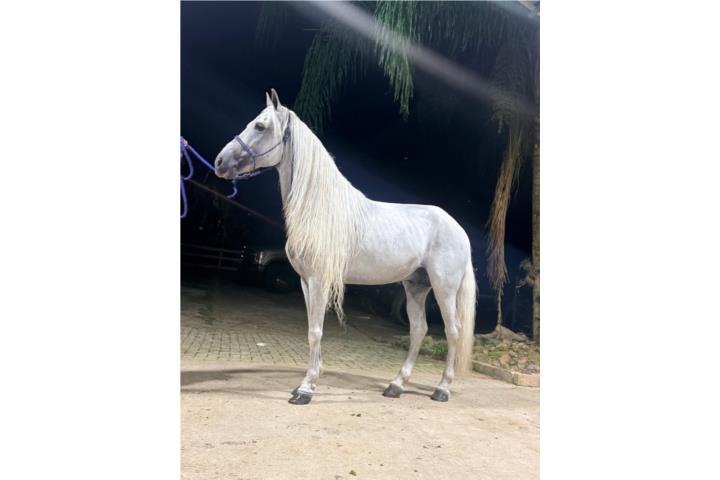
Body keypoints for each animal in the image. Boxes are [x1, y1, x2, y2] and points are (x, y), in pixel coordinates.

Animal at [215, 89, 476, 405]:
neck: (319, 207)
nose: (219, 162)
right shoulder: (305, 281)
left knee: (452, 331)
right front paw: (310, 381)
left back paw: (442, 389)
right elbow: (311, 329)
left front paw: (305, 389)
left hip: (444, 288)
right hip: (416, 286)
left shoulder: (319, 280)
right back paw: (396, 385)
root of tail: (459, 229)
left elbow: (315, 331)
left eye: (260, 126)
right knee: (418, 330)